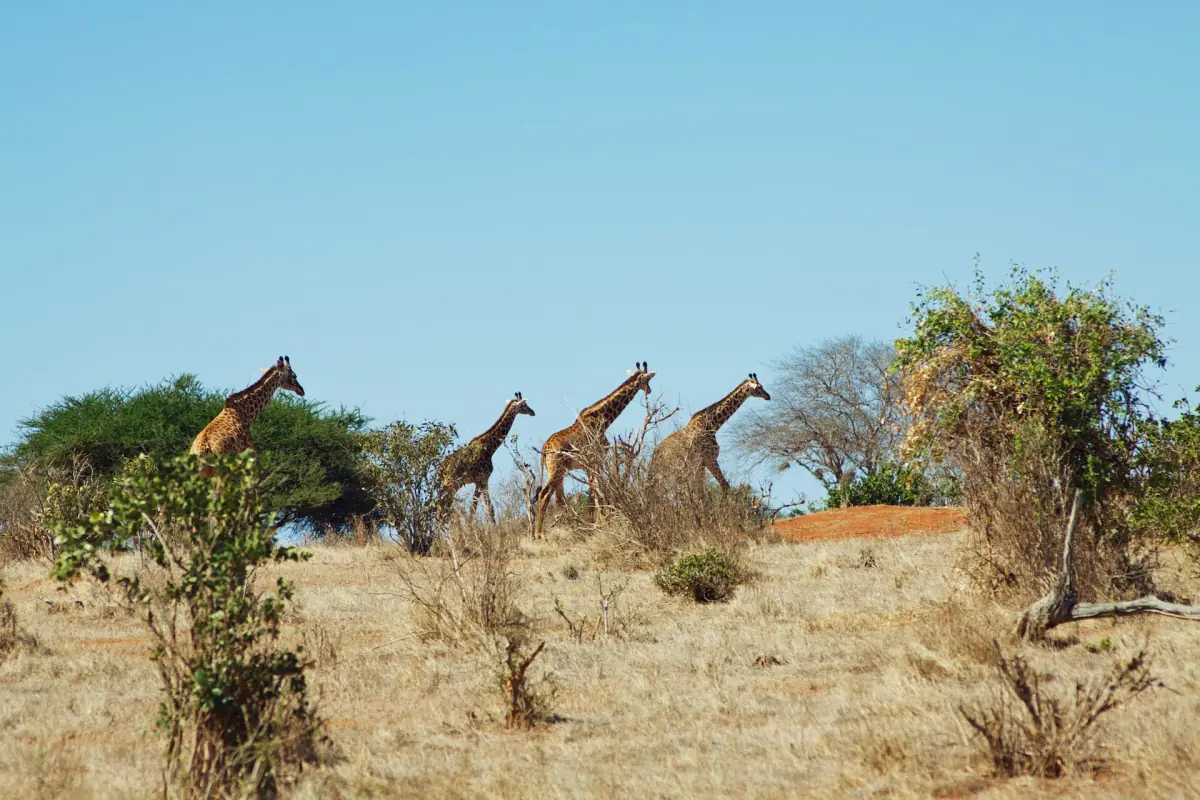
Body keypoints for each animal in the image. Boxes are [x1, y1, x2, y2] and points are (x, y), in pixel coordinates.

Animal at [437, 392, 536, 524]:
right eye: (524, 405)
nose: (532, 412)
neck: (490, 448)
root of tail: (441, 469)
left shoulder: (478, 482)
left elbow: (473, 509)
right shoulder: (484, 479)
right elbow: (490, 509)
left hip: (451, 484)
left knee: (444, 504)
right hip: (451, 483)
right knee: (442, 504)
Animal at [533, 362, 656, 538]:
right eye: (647, 380)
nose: (649, 390)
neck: (604, 419)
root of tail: (545, 448)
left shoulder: (589, 465)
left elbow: (593, 494)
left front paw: (593, 524)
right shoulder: (597, 460)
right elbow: (597, 494)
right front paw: (602, 523)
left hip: (559, 471)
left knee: (558, 498)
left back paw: (570, 527)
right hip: (557, 469)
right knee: (544, 495)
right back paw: (539, 535)